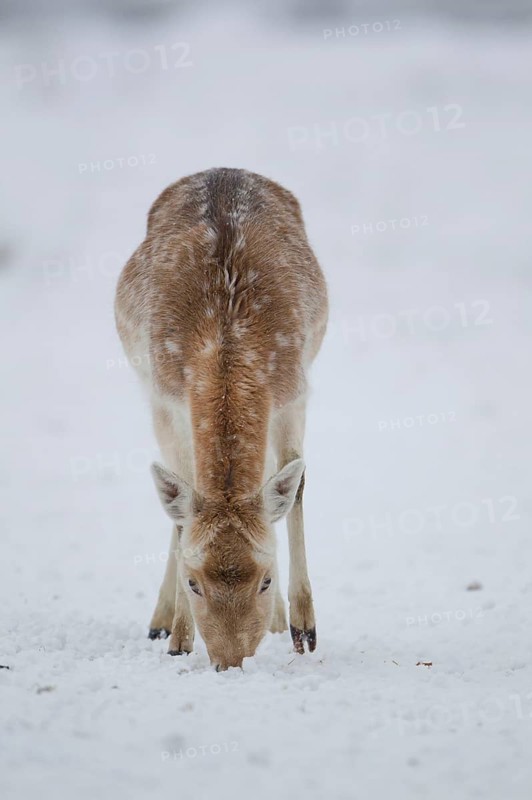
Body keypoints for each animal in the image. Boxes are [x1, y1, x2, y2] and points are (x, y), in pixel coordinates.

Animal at [115, 168, 328, 670]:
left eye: (265, 579)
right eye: (194, 582)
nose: (231, 662)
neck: (226, 335)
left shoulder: (293, 391)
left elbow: (297, 483)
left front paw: (304, 629)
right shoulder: (165, 398)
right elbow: (182, 508)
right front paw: (179, 638)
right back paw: (159, 621)